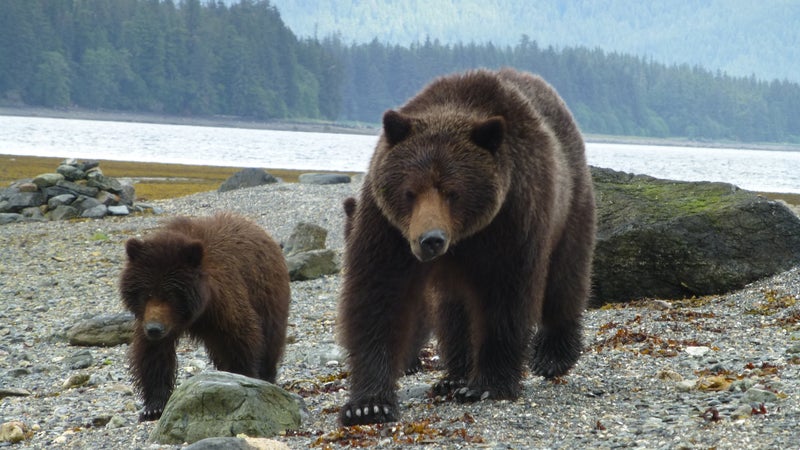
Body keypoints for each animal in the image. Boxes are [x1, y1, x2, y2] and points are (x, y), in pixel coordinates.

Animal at [119, 213, 290, 420]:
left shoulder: (225, 302)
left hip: (267, 294)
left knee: (271, 336)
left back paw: (267, 375)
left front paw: (244, 377)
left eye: (170, 294)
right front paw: (154, 407)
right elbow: (153, 354)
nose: (154, 329)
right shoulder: (150, 319)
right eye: (146, 293)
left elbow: (240, 337)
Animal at [336, 68, 592, 424]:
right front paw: (368, 404)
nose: (431, 239)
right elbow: (377, 297)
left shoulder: (512, 220)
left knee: (564, 277)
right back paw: (454, 375)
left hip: (569, 205)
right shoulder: (387, 227)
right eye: (410, 191)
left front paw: (486, 386)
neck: (464, 238)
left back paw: (553, 355)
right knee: (453, 311)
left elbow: (506, 299)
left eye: (452, 192)